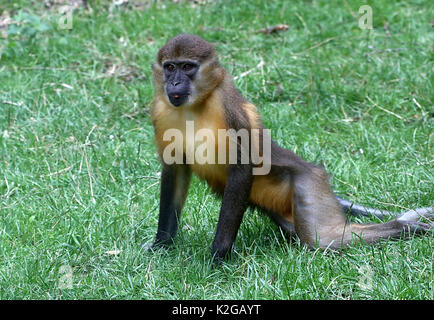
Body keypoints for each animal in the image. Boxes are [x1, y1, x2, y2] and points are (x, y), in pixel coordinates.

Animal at [150, 33, 434, 264]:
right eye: (170, 67)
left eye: (188, 67)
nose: (174, 83)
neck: (194, 106)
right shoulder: (161, 110)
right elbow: (175, 170)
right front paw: (161, 245)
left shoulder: (228, 108)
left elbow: (242, 166)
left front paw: (217, 257)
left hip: (309, 183)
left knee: (324, 238)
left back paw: (409, 227)